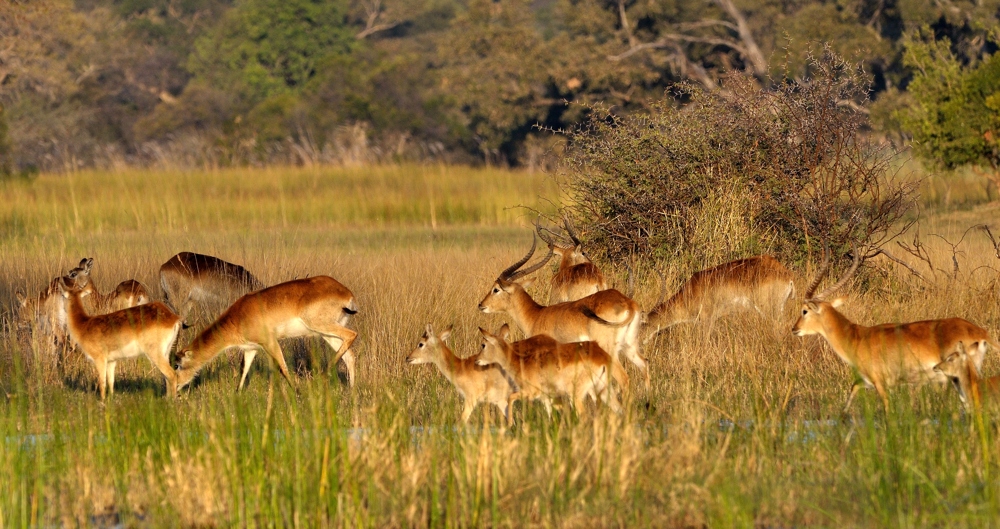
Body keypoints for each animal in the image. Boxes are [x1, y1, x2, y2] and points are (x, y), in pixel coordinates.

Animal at [174, 274, 358, 390]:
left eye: (177, 365)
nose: (174, 388)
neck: (238, 316)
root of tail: (346, 292)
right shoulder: (251, 349)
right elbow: (243, 371)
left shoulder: (270, 342)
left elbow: (283, 368)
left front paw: (297, 393)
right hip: (326, 334)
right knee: (350, 355)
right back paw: (351, 390)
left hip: (323, 326)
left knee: (352, 335)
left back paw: (325, 373)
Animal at [474, 322, 620, 416]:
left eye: (483, 345)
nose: (476, 361)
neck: (521, 362)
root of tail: (602, 357)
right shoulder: (545, 397)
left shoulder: (531, 393)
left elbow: (510, 398)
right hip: (603, 389)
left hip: (578, 394)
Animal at [792, 250, 996, 410]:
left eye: (804, 310)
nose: (794, 329)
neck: (857, 337)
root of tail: (980, 332)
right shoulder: (867, 381)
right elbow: (851, 392)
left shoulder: (881, 383)